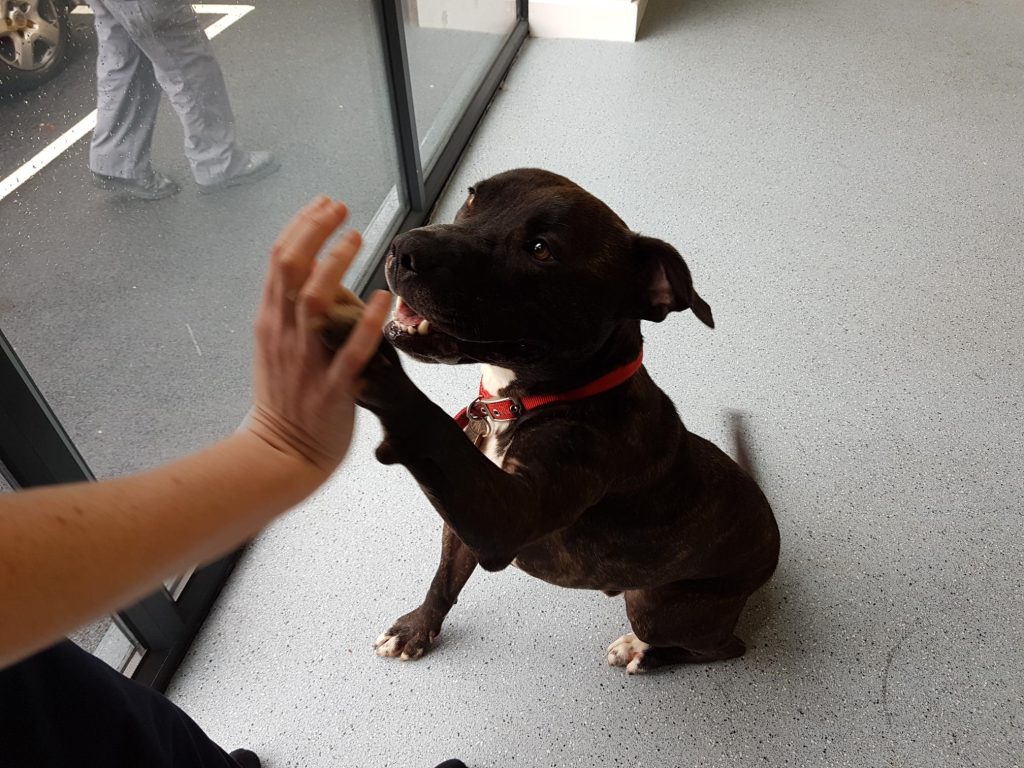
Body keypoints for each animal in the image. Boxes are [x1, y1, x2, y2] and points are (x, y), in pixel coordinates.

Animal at [356, 167, 778, 671]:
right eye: (474, 197)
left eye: (541, 249)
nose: (403, 247)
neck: (524, 402)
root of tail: (773, 537)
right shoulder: (462, 518)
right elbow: (444, 579)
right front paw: (416, 630)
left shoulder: (509, 517)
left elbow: (428, 428)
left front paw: (370, 367)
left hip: (660, 604)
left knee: (721, 647)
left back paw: (645, 653)